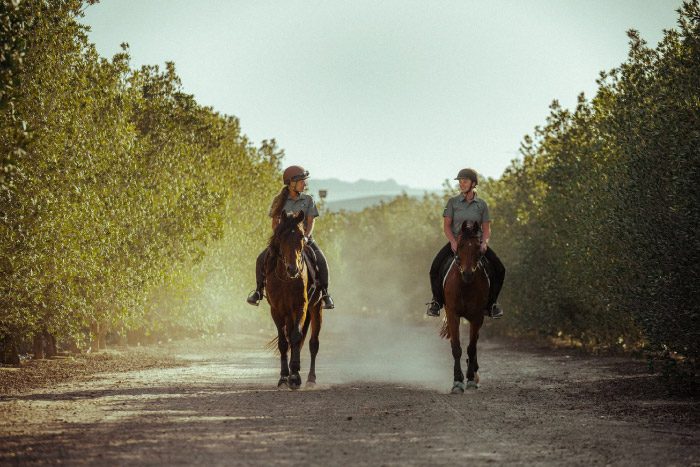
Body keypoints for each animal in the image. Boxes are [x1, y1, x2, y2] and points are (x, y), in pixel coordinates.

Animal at [266, 210, 326, 390]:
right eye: (282, 236)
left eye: (301, 236)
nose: (292, 269)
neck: (286, 279)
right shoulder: (276, 311)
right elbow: (283, 342)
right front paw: (284, 378)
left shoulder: (301, 307)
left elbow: (296, 337)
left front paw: (294, 376)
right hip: (288, 314)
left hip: (316, 309)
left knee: (313, 344)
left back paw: (311, 379)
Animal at [440, 221, 490, 394]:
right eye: (460, 245)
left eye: (478, 246)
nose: (467, 274)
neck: (465, 286)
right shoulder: (453, 314)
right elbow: (456, 347)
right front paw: (457, 381)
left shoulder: (477, 317)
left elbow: (471, 347)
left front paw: (471, 379)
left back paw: (474, 371)